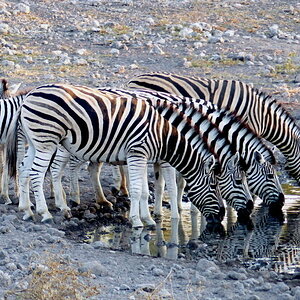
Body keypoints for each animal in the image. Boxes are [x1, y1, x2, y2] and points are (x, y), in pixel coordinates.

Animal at [5, 82, 224, 227]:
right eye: (214, 186)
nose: (221, 217)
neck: (162, 134)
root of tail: (29, 96)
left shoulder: (143, 157)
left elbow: (144, 191)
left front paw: (148, 218)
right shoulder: (137, 153)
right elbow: (138, 190)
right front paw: (137, 221)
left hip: (36, 142)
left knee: (24, 170)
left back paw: (27, 210)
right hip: (47, 140)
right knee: (36, 174)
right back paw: (45, 213)